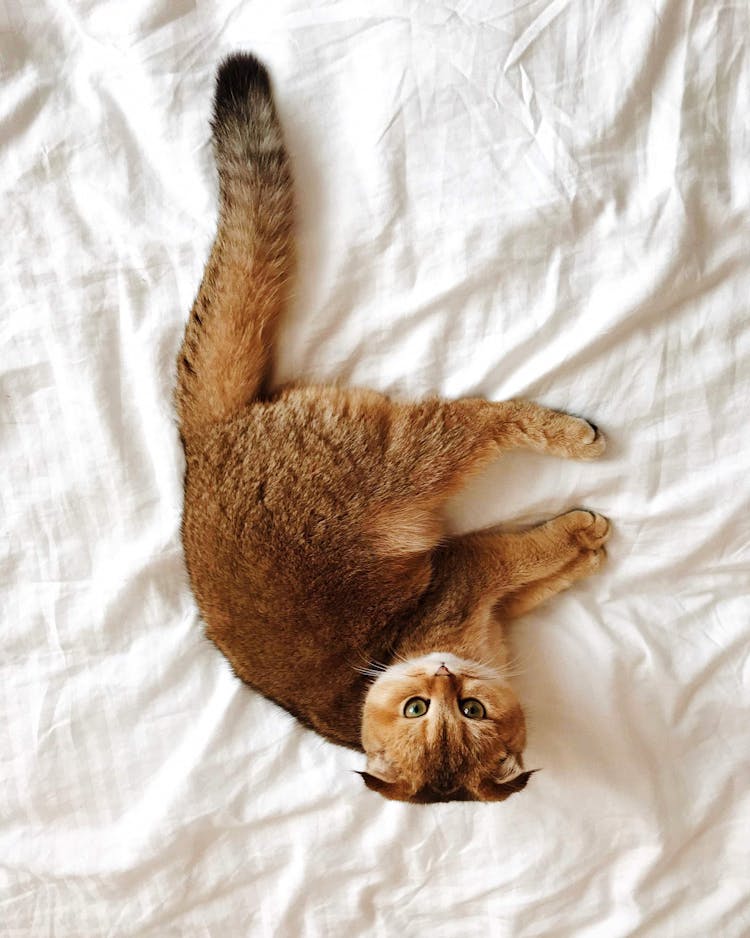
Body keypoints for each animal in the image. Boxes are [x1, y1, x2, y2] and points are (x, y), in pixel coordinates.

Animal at [176, 51, 612, 800]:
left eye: (469, 710)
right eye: (422, 712)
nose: (443, 677)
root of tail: (202, 443)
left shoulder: (476, 581)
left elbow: (532, 563)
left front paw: (582, 542)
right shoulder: (472, 571)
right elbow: (532, 559)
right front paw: (582, 541)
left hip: (405, 454)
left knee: (487, 416)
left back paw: (575, 435)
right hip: (403, 457)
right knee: (478, 420)